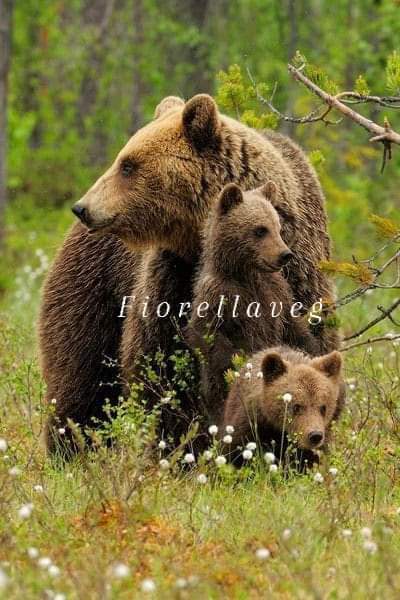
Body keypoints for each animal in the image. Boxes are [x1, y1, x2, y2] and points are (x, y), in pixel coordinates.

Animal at [39, 94, 336, 452]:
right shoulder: (173, 278)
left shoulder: (295, 274)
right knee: (79, 375)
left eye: (128, 165)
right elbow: (161, 363)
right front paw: (179, 442)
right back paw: (71, 447)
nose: (83, 207)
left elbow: (308, 342)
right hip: (92, 287)